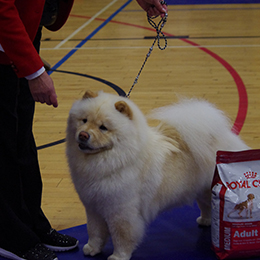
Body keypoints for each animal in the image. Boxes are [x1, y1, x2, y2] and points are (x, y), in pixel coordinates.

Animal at [65, 90, 248, 260]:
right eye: (84, 120)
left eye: (103, 127)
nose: (83, 135)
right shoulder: (93, 207)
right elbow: (94, 231)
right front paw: (92, 249)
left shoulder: (121, 211)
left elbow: (121, 236)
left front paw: (119, 256)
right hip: (202, 190)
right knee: (207, 206)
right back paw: (205, 221)